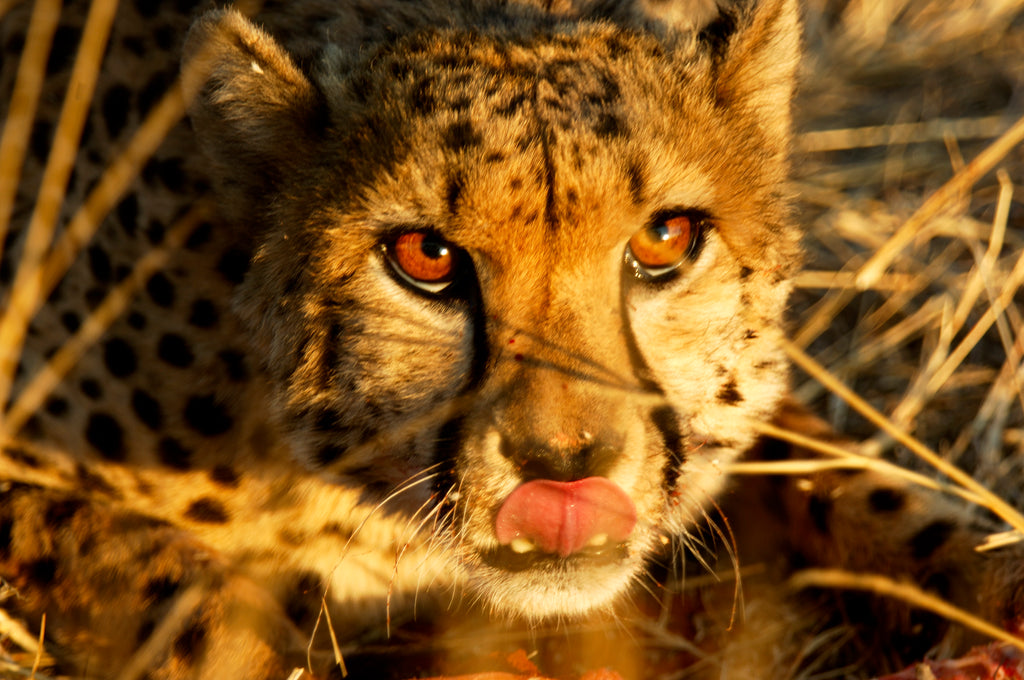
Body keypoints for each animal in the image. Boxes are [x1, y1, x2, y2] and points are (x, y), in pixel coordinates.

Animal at [1, 0, 1023, 678]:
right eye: (424, 255)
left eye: (666, 239)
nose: (561, 463)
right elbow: (209, 617)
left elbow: (858, 484)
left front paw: (988, 594)